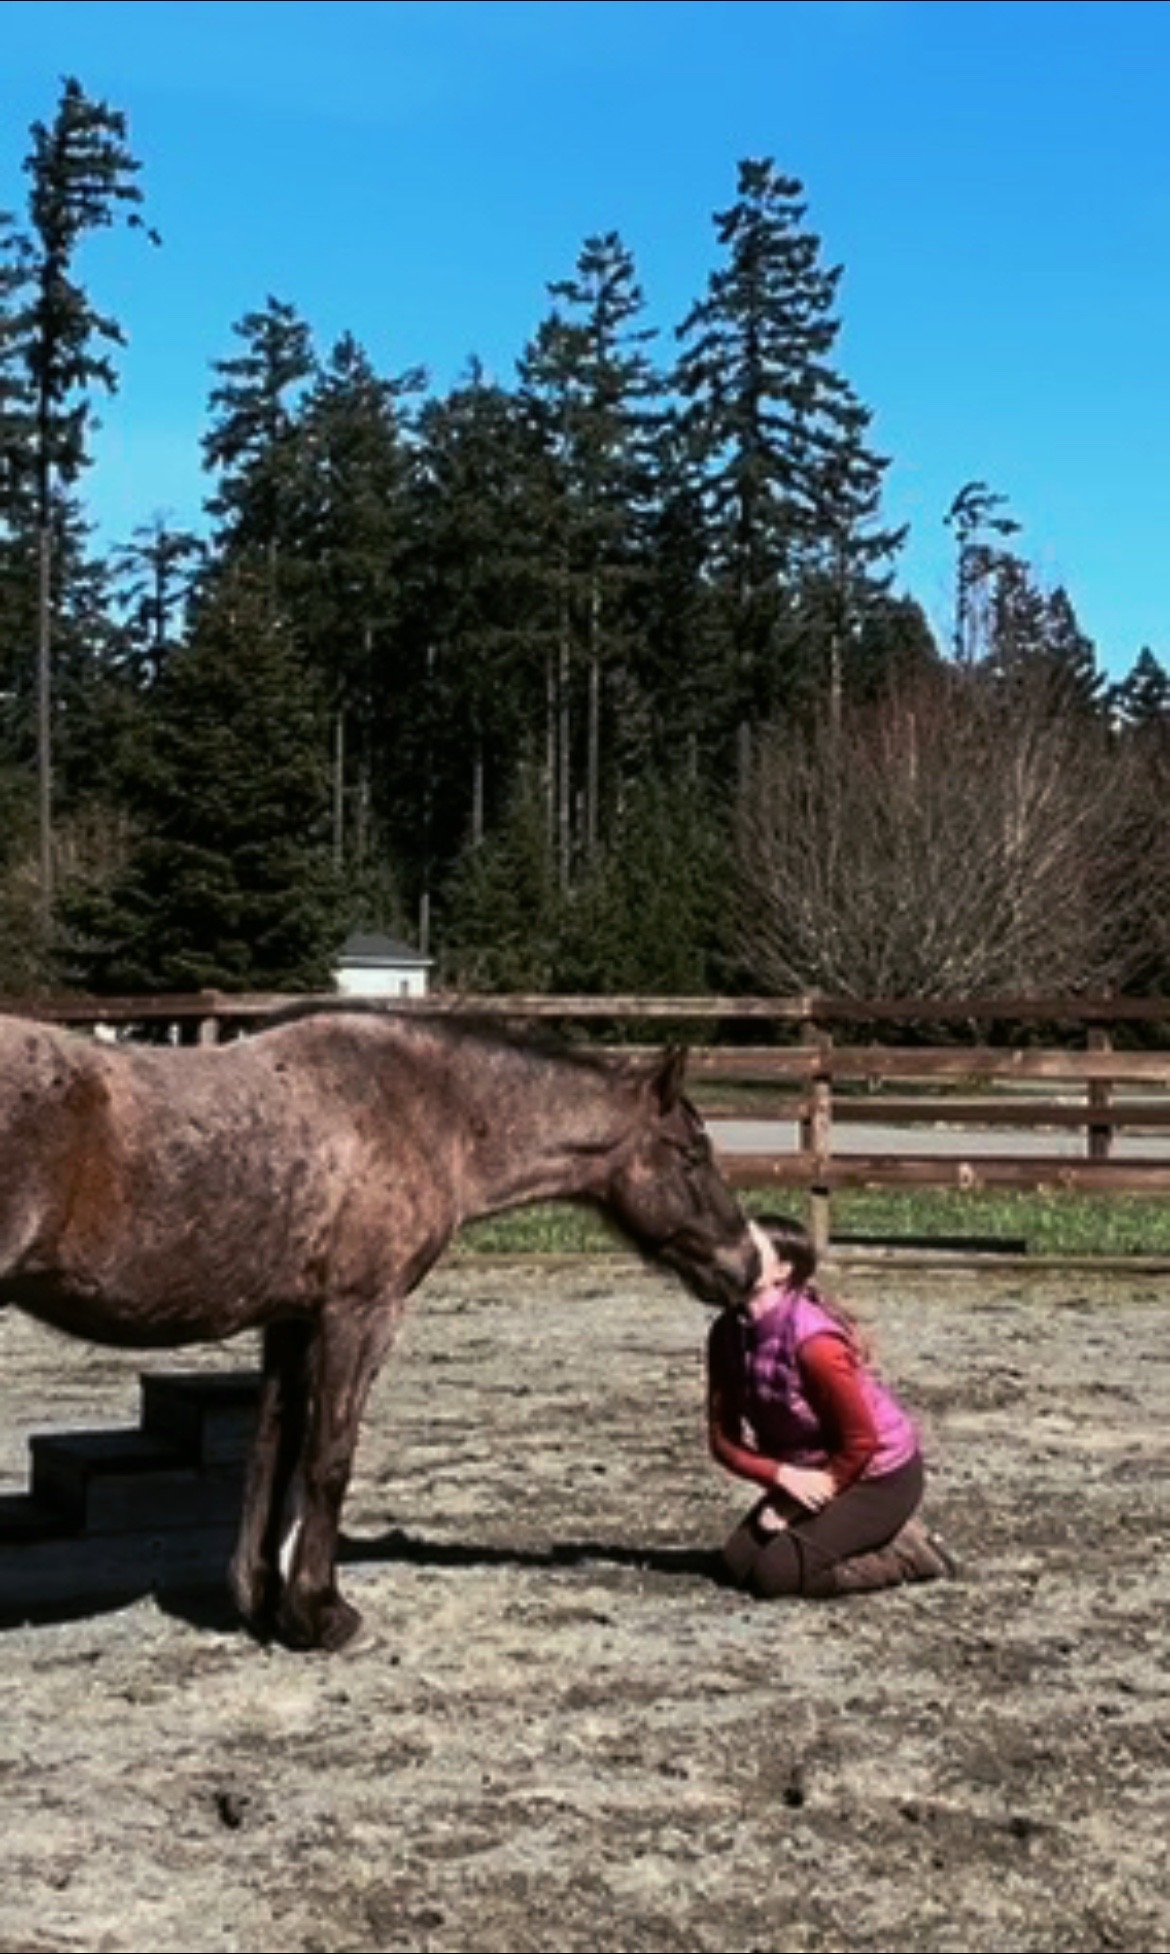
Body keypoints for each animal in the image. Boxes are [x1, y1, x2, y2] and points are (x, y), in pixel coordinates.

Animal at [0, 1005, 758, 1652]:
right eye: (691, 1154)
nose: (746, 1264)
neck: (424, 1111)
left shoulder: (292, 1321)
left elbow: (275, 1451)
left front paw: (262, 1603)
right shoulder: (360, 1312)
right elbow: (330, 1458)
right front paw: (324, 1615)